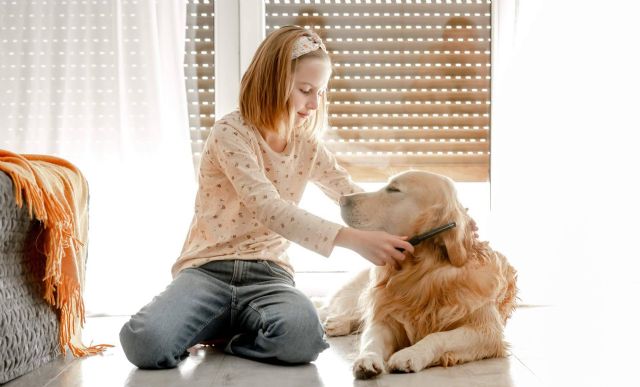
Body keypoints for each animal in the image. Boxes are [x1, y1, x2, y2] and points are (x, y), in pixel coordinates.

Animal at [320, 171, 520, 380]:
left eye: (394, 189)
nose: (341, 199)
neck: (424, 272)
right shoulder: (386, 316)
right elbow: (371, 338)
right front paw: (367, 359)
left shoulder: (487, 330)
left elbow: (439, 336)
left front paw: (410, 354)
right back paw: (338, 322)